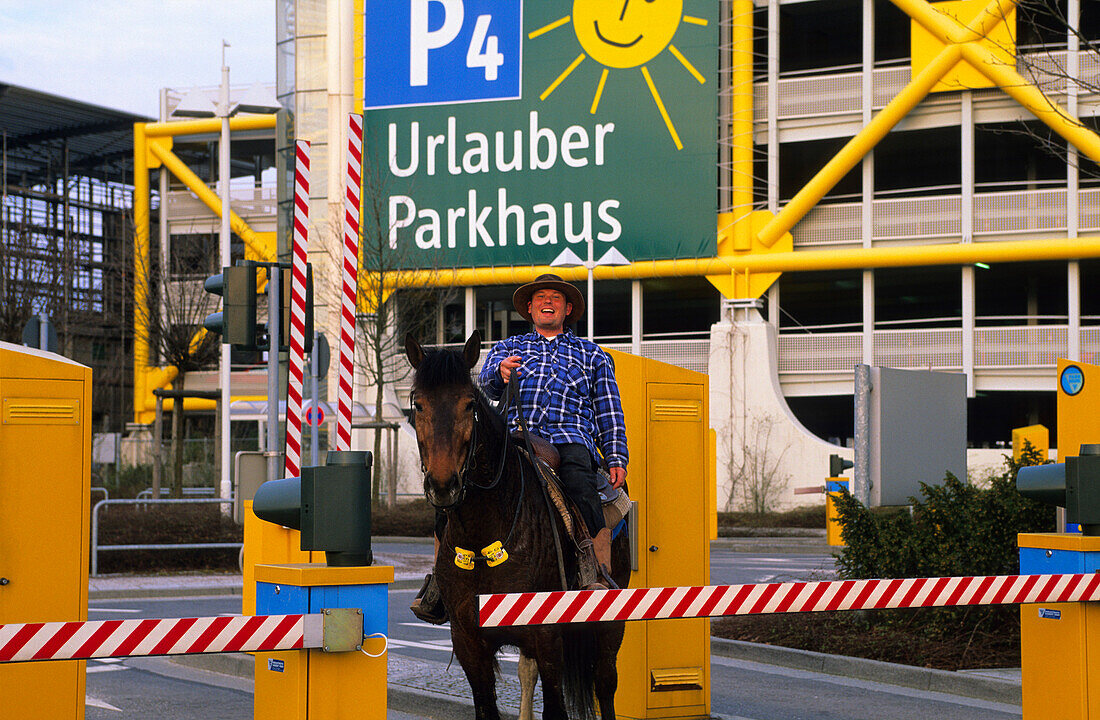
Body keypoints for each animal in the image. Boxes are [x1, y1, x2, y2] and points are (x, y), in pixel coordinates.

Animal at [404, 334, 629, 720]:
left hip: (610, 621)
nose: (443, 485)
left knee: (605, 683)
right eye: (418, 404)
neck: (483, 534)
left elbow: (556, 706)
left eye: (469, 404)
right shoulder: (468, 640)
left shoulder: (547, 635)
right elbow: (487, 706)